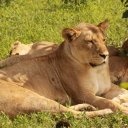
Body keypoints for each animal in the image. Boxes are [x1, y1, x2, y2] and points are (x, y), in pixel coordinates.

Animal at [0, 19, 128, 117]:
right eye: (90, 41)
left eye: (104, 40)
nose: (105, 55)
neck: (96, 71)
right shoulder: (83, 95)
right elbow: (108, 102)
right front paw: (122, 107)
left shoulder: (108, 87)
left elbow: (123, 92)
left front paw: (122, 100)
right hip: (32, 99)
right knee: (72, 114)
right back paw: (104, 111)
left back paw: (88, 107)